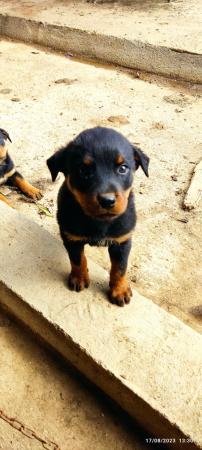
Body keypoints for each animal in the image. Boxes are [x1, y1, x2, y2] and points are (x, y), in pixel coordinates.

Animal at [46, 125, 149, 306]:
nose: (107, 201)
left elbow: (120, 268)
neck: (100, 222)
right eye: (84, 170)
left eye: (123, 168)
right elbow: (77, 259)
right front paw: (79, 278)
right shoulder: (72, 238)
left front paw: (120, 290)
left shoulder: (122, 241)